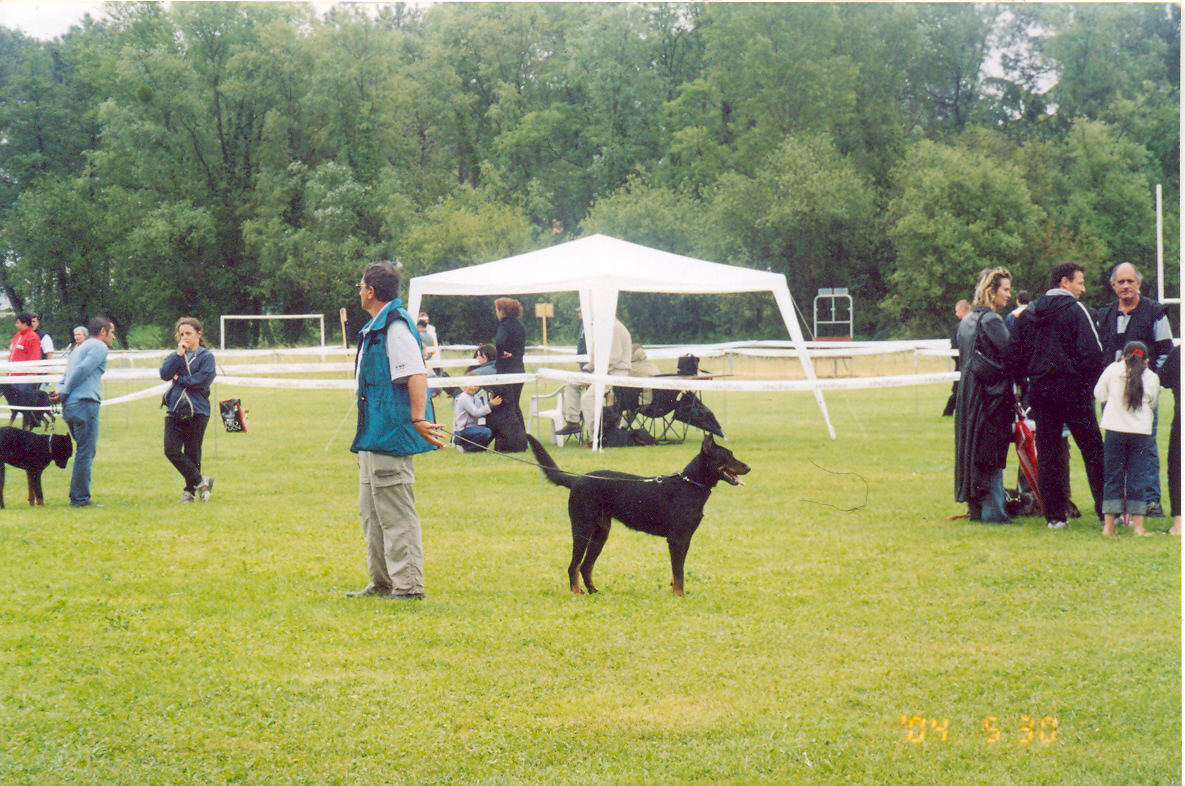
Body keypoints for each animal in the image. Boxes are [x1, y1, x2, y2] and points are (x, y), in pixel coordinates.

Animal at [528, 431, 748, 597]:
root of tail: (576, 480)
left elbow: (678, 569)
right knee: (573, 565)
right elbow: (679, 572)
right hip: (582, 529)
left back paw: (592, 591)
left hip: (601, 533)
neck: (690, 485)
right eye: (728, 455)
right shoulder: (677, 539)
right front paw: (679, 595)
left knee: (585, 566)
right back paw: (576, 592)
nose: (749, 467)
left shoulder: (685, 539)